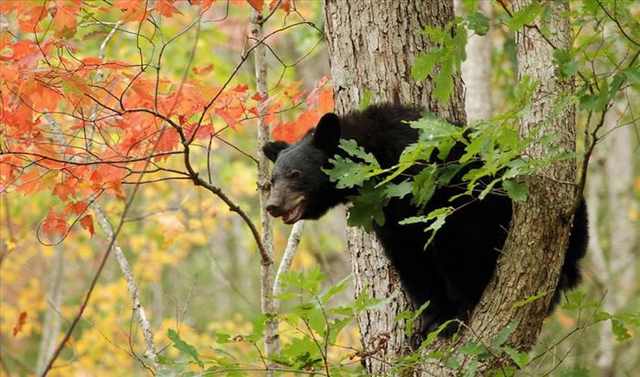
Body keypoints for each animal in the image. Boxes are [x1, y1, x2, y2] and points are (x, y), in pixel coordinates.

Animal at [262, 103, 588, 334]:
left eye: (296, 174)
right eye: (272, 179)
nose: (272, 206)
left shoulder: (437, 189)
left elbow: (456, 243)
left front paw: (457, 310)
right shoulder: (389, 214)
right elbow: (410, 258)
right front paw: (430, 317)